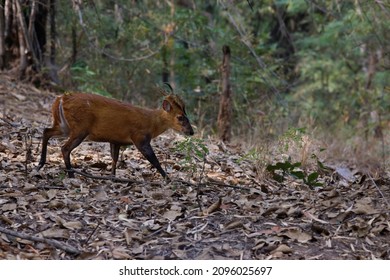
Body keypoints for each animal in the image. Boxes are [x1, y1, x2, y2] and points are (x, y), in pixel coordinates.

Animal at [36, 87, 193, 178]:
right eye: (180, 117)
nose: (191, 131)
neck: (151, 122)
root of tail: (61, 98)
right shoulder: (140, 137)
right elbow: (154, 160)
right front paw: (168, 178)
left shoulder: (116, 140)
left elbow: (114, 159)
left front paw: (112, 176)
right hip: (80, 128)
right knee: (65, 148)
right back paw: (70, 174)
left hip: (64, 125)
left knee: (46, 131)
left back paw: (40, 165)